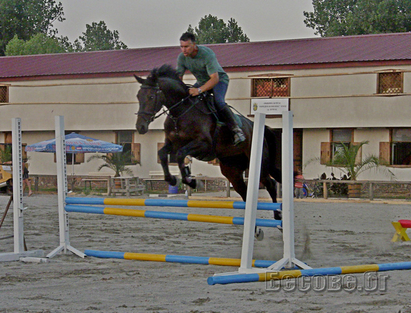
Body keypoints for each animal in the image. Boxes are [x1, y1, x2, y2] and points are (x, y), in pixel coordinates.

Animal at [135, 63, 284, 206]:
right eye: (138, 96)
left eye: (151, 97)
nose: (140, 127)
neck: (181, 113)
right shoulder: (173, 144)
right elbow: (162, 154)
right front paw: (171, 179)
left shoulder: (203, 144)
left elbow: (180, 155)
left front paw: (191, 181)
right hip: (232, 168)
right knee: (243, 190)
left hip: (259, 163)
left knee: (270, 183)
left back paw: (278, 212)